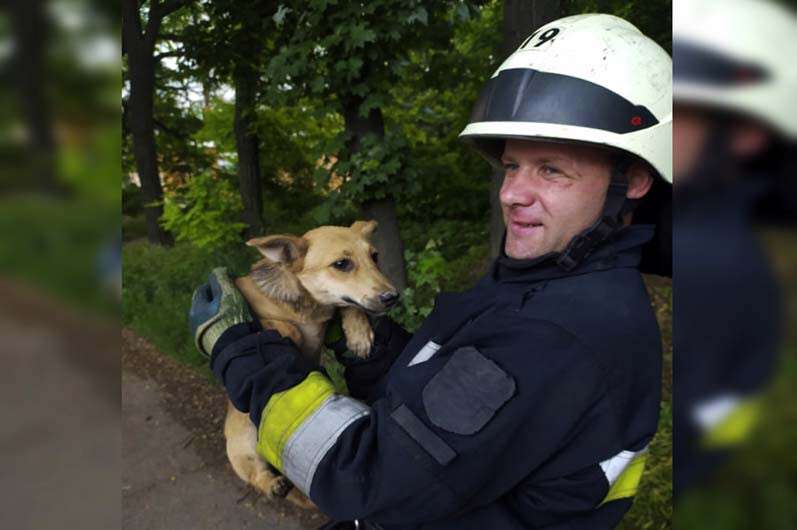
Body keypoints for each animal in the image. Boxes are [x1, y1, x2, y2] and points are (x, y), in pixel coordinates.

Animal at [222, 219, 398, 504]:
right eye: (341, 264)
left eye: (375, 256)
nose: (392, 297)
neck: (308, 306)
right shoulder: (255, 312)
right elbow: (279, 327)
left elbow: (348, 306)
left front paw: (358, 333)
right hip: (245, 447)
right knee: (256, 475)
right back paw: (272, 484)